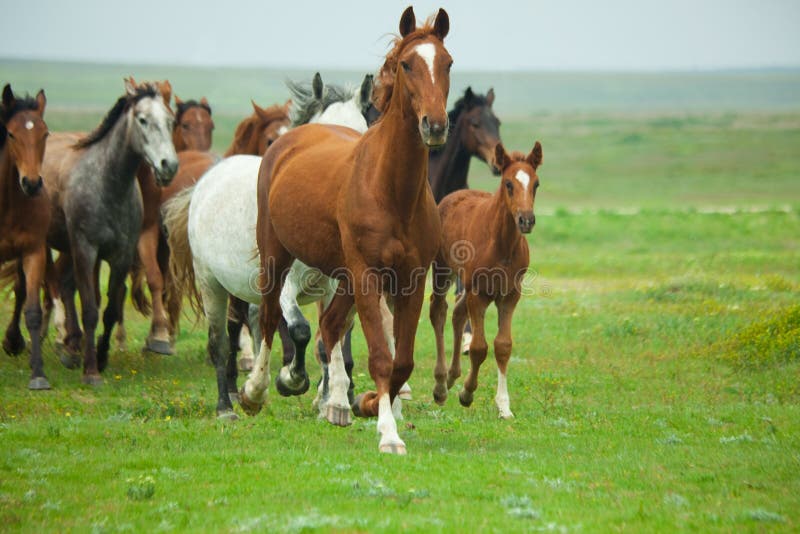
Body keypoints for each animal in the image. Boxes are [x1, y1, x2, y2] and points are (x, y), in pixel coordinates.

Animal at [43, 78, 178, 386]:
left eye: (170, 120)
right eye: (142, 120)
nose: (169, 166)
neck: (108, 185)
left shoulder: (121, 256)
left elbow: (111, 309)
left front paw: (102, 356)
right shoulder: (86, 250)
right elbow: (91, 309)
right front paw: (91, 371)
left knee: (64, 284)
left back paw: (71, 347)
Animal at [166, 73, 376, 420]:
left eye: (361, 136)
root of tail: (207, 179)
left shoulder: (335, 286)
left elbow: (327, 340)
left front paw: (327, 402)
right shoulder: (284, 284)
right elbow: (300, 330)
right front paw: (289, 381)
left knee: (246, 326)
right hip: (212, 284)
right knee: (221, 341)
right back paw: (227, 404)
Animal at [241, 6, 454, 454]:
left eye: (447, 63)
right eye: (407, 64)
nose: (435, 125)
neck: (390, 190)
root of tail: (290, 139)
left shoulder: (409, 279)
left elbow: (401, 361)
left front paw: (369, 404)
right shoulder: (368, 274)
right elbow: (381, 357)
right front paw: (388, 434)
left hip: (343, 277)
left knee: (330, 325)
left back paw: (337, 403)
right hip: (277, 256)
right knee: (268, 317)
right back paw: (255, 392)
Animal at [428, 140, 540, 420]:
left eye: (536, 184)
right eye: (508, 184)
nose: (526, 220)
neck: (502, 244)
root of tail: (452, 196)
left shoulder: (510, 295)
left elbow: (503, 345)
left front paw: (504, 405)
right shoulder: (479, 294)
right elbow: (479, 347)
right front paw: (467, 393)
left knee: (457, 313)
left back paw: (452, 376)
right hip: (443, 270)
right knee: (439, 310)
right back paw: (440, 385)